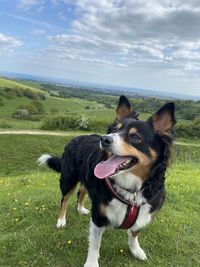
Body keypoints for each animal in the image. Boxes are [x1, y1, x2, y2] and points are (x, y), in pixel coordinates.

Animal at [37, 97, 175, 267]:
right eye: (114, 130)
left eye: (135, 137)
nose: (104, 139)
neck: (131, 189)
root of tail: (76, 138)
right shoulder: (99, 216)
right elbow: (95, 243)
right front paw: (91, 263)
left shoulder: (144, 213)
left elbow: (134, 233)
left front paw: (136, 250)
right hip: (68, 179)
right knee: (65, 199)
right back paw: (61, 220)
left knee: (81, 192)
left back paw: (81, 209)